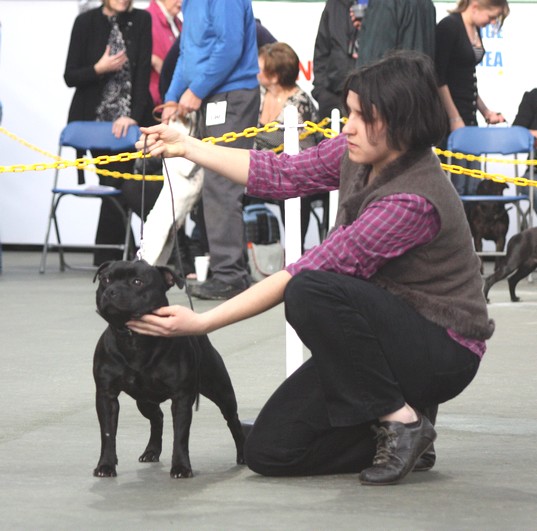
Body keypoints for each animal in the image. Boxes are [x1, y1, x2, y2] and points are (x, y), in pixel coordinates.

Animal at [92, 259, 244, 478]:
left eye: (137, 282)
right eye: (105, 280)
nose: (111, 291)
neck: (134, 338)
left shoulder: (181, 398)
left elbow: (180, 435)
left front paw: (181, 467)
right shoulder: (106, 396)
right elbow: (107, 433)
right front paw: (105, 465)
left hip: (222, 392)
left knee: (233, 420)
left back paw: (242, 454)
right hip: (144, 401)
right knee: (157, 418)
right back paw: (151, 451)